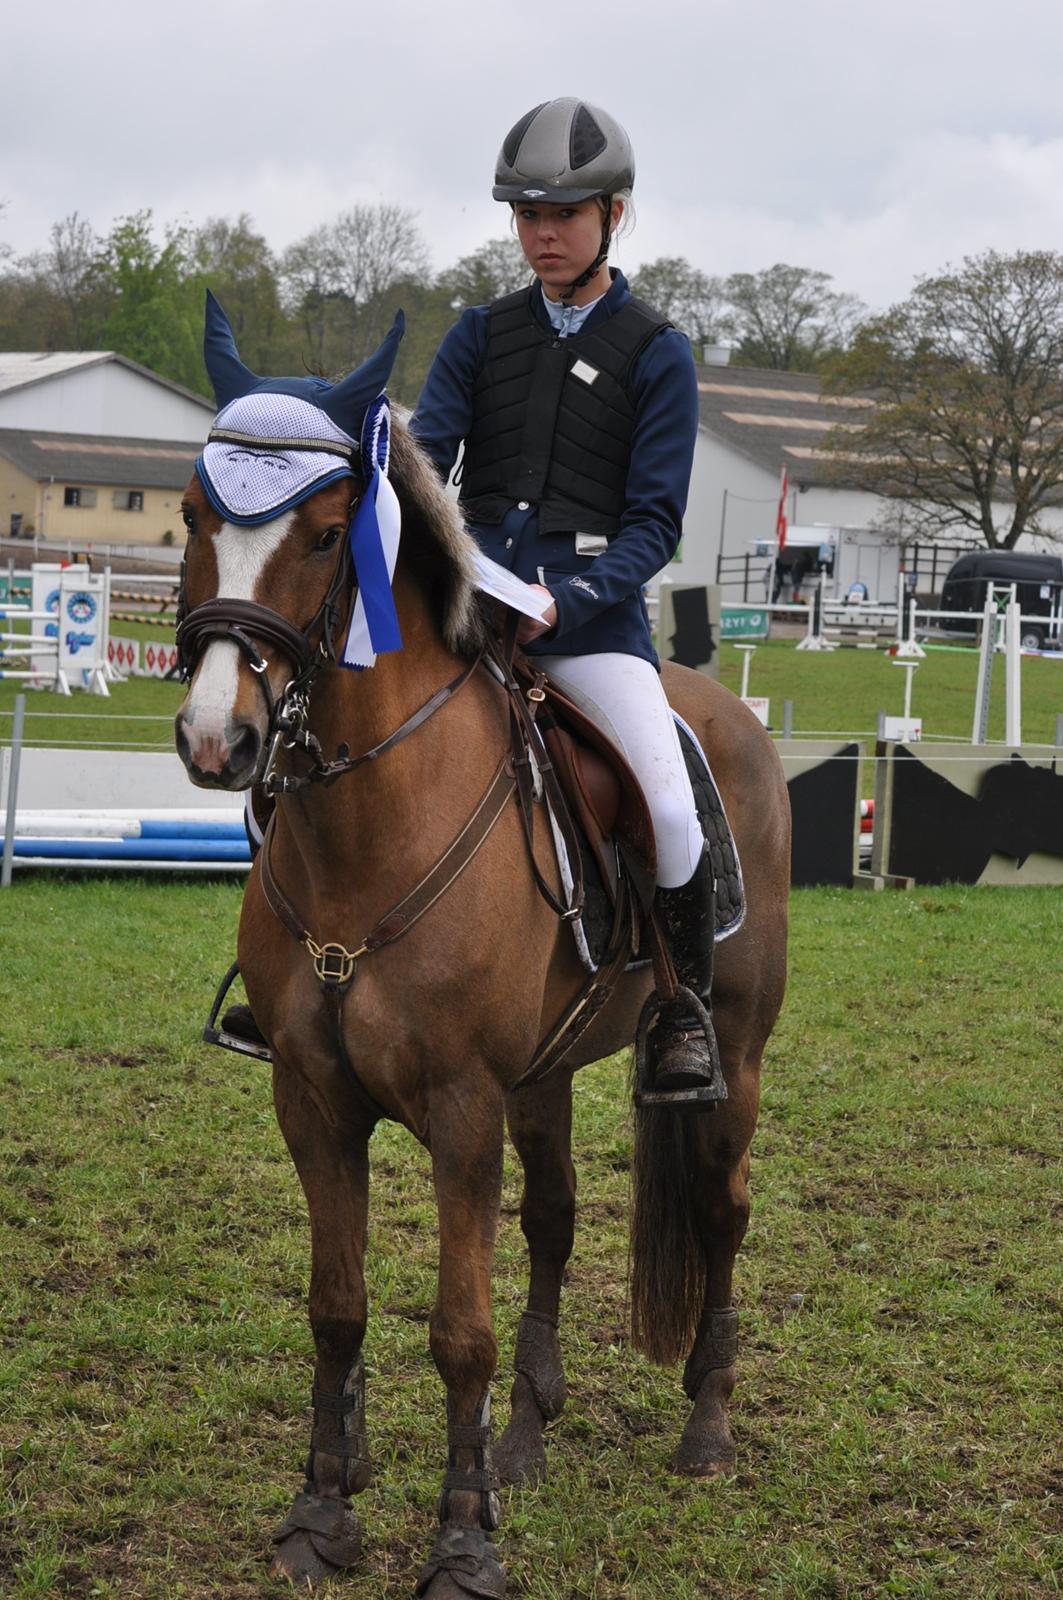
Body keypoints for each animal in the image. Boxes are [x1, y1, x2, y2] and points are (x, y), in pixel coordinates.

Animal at [176, 416, 787, 1600]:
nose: (215, 738)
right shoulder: (313, 1102)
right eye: (191, 517)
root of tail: (727, 709)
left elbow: (460, 1332)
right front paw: (323, 1511)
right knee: (553, 1217)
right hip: (541, 1074)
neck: (367, 827)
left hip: (733, 1053)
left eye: (327, 538)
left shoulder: (461, 1109)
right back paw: (525, 1439)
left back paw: (706, 1424)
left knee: (721, 1209)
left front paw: (462, 1542)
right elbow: (337, 1309)